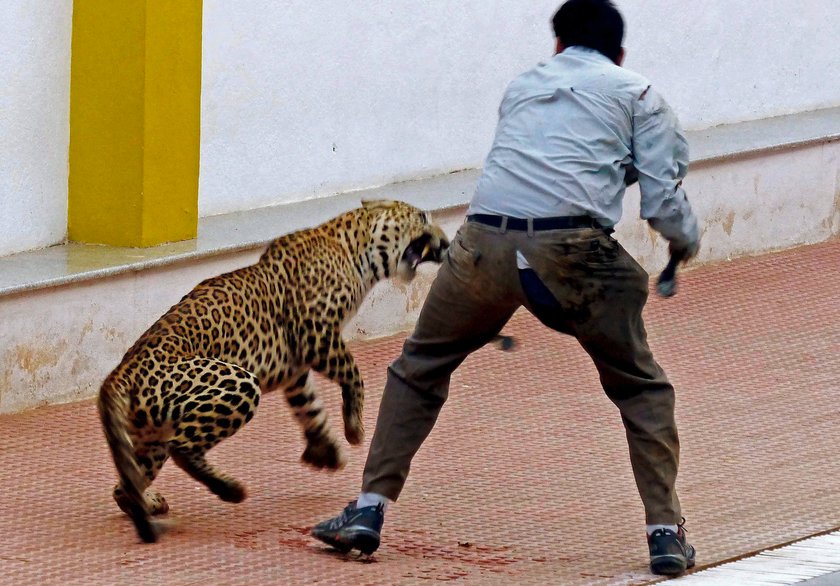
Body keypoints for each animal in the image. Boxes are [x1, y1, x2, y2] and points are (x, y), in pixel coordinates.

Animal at [98, 197, 450, 544]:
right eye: (422, 217)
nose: (447, 243)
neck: (355, 250)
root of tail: (119, 375)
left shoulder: (295, 368)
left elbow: (309, 407)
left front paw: (325, 450)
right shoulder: (316, 335)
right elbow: (353, 373)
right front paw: (354, 429)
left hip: (150, 437)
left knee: (125, 485)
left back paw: (148, 502)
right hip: (237, 383)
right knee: (182, 448)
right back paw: (231, 490)